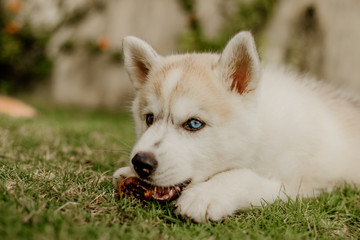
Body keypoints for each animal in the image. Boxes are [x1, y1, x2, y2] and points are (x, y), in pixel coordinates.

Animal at [114, 31, 360, 222]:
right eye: (149, 119)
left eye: (194, 123)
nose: (141, 163)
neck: (259, 133)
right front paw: (128, 172)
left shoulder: (292, 187)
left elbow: (242, 176)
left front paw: (206, 194)